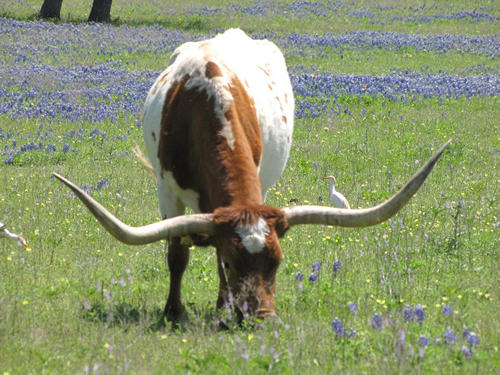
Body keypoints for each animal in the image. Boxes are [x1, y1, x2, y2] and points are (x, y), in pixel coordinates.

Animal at [52, 29, 452, 324]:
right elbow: (178, 254)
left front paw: (224, 306)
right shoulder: (167, 190)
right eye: (234, 261)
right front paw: (173, 312)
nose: (261, 318)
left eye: (277, 261)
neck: (206, 98)